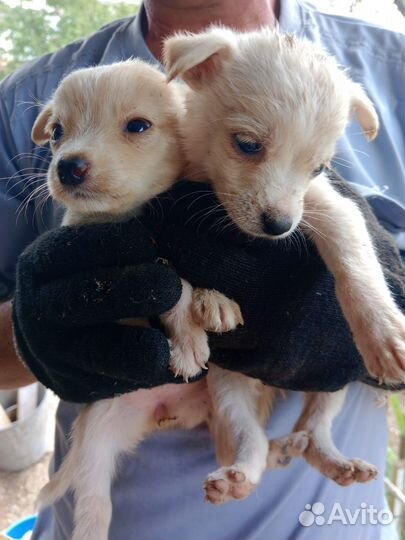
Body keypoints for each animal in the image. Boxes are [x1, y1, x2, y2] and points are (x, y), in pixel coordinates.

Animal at [32, 60, 243, 540]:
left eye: (138, 126)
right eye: (57, 132)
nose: (67, 166)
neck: (131, 216)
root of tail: (163, 411)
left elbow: (192, 274)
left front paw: (215, 301)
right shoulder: (126, 258)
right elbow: (172, 286)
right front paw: (188, 342)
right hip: (96, 445)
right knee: (95, 509)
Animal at [162, 28, 404, 502]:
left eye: (319, 167)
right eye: (248, 145)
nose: (279, 227)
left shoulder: (331, 207)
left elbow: (355, 263)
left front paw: (383, 333)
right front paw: (210, 302)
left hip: (331, 380)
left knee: (314, 426)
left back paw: (335, 460)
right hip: (228, 387)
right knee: (248, 441)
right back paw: (236, 478)